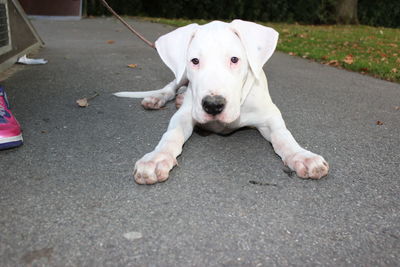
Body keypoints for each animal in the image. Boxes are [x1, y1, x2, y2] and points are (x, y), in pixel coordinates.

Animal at [113, 19, 328, 185]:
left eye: (234, 59)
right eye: (195, 61)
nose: (213, 105)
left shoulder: (269, 117)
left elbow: (284, 136)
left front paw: (302, 156)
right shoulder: (185, 115)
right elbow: (171, 135)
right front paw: (157, 157)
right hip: (181, 74)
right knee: (171, 85)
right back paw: (157, 98)